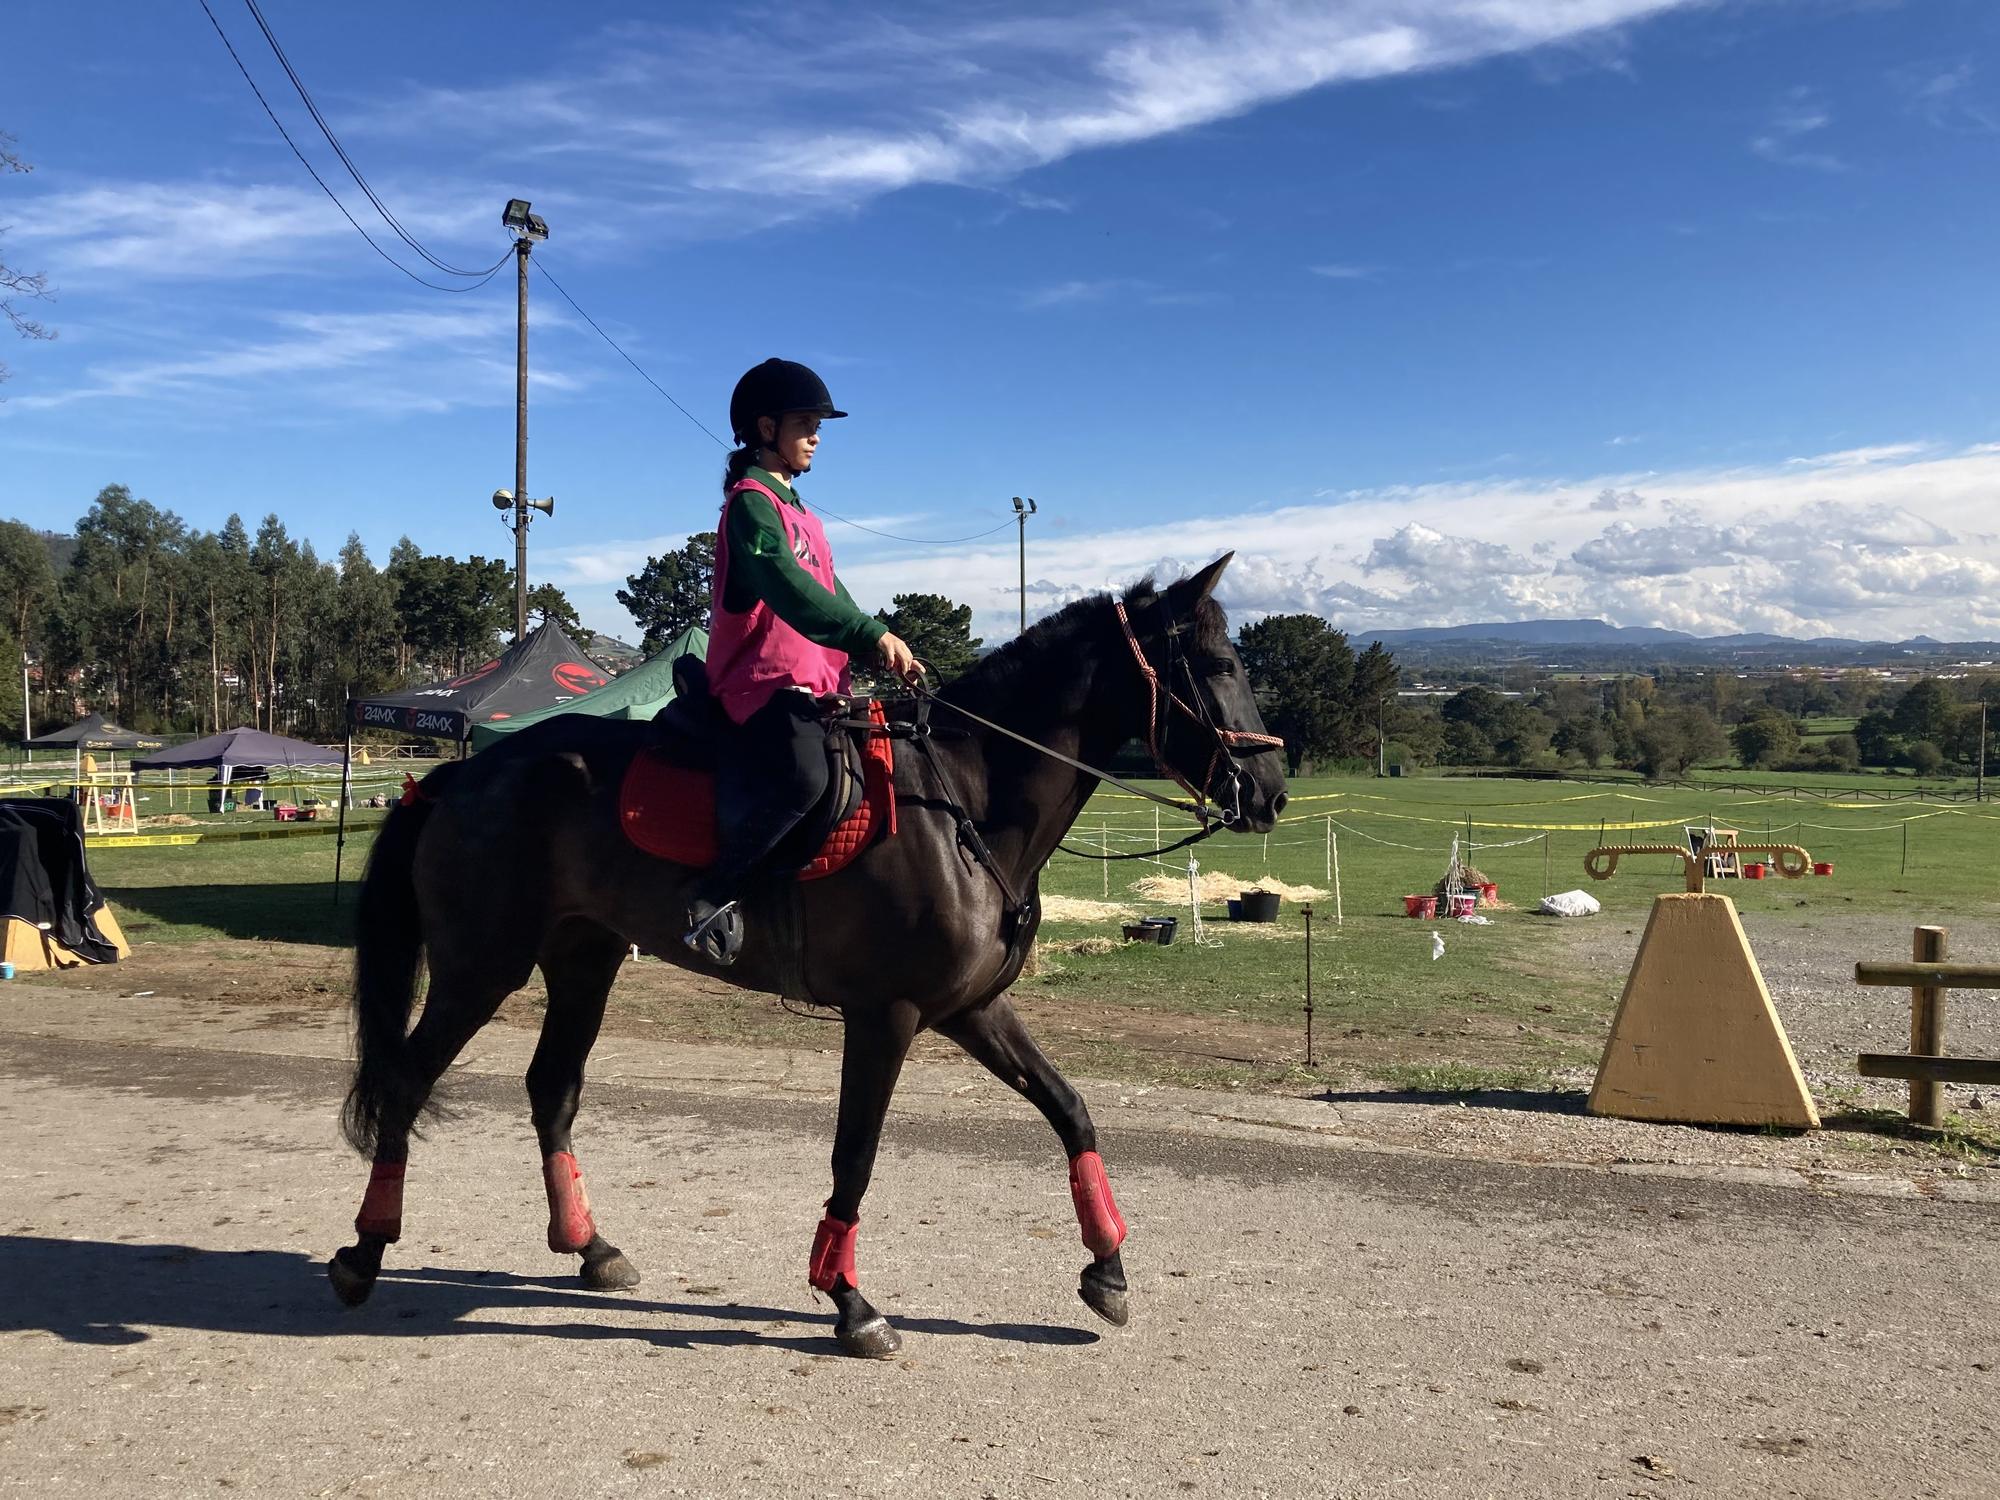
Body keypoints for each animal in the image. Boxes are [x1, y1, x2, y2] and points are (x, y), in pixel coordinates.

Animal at [332, 560, 1280, 1360]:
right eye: (1218, 662)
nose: (1269, 794)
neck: (963, 801)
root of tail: (463, 775)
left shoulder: (973, 1009)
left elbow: (1071, 1110)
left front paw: (1107, 1269)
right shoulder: (886, 1016)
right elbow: (854, 1154)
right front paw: (849, 1301)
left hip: (583, 961)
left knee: (552, 1090)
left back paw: (591, 1247)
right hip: (479, 967)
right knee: (408, 1082)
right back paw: (365, 1251)